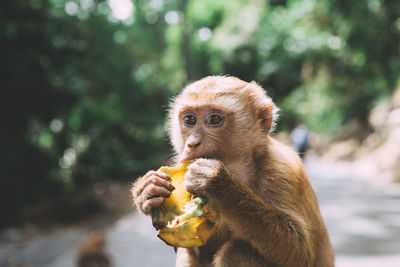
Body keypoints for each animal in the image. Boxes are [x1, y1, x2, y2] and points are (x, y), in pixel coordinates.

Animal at [131, 76, 334, 267]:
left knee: (235, 253)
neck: (240, 171)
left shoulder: (281, 172)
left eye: (215, 119)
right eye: (189, 120)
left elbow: (299, 251)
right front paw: (146, 191)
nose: (192, 143)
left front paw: (217, 183)